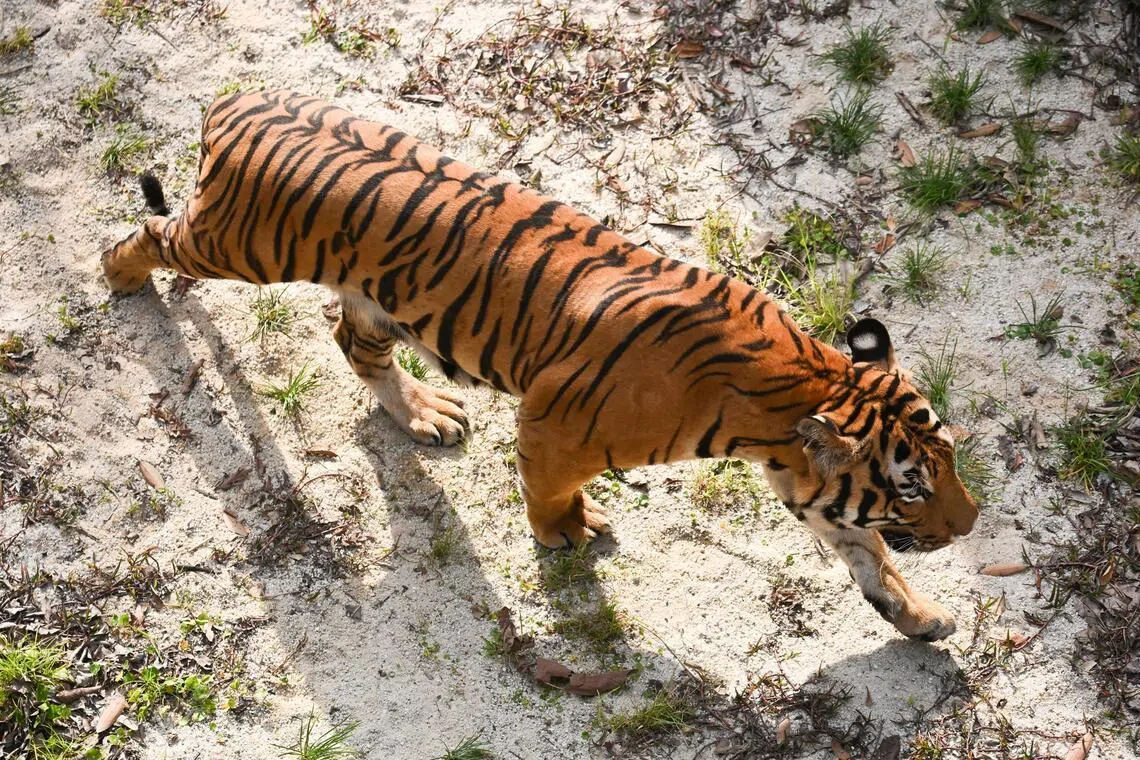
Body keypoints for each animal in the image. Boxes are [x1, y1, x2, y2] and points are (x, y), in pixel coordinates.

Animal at [101, 90, 978, 641]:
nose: (972, 527)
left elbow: (871, 558)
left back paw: (425, 413)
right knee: (150, 234)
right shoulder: (551, 421)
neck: (802, 382)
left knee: (354, 345)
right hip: (237, 245)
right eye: (911, 487)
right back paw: (118, 276)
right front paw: (568, 534)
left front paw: (921, 618)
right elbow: (550, 492)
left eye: (951, 462)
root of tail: (241, 101)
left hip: (377, 297)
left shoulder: (809, 488)